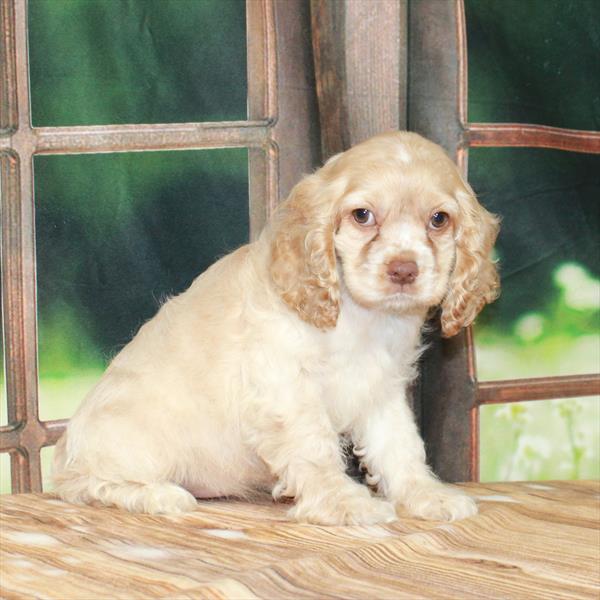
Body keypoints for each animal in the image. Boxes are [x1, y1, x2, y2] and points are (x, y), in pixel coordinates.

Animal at [54, 132, 500, 524]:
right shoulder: (286, 385)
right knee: (84, 485)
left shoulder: (380, 387)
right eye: (362, 215)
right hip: (125, 447)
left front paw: (424, 494)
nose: (404, 269)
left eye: (439, 219)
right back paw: (156, 496)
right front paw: (343, 503)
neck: (361, 317)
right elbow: (316, 447)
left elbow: (399, 445)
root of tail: (65, 447)